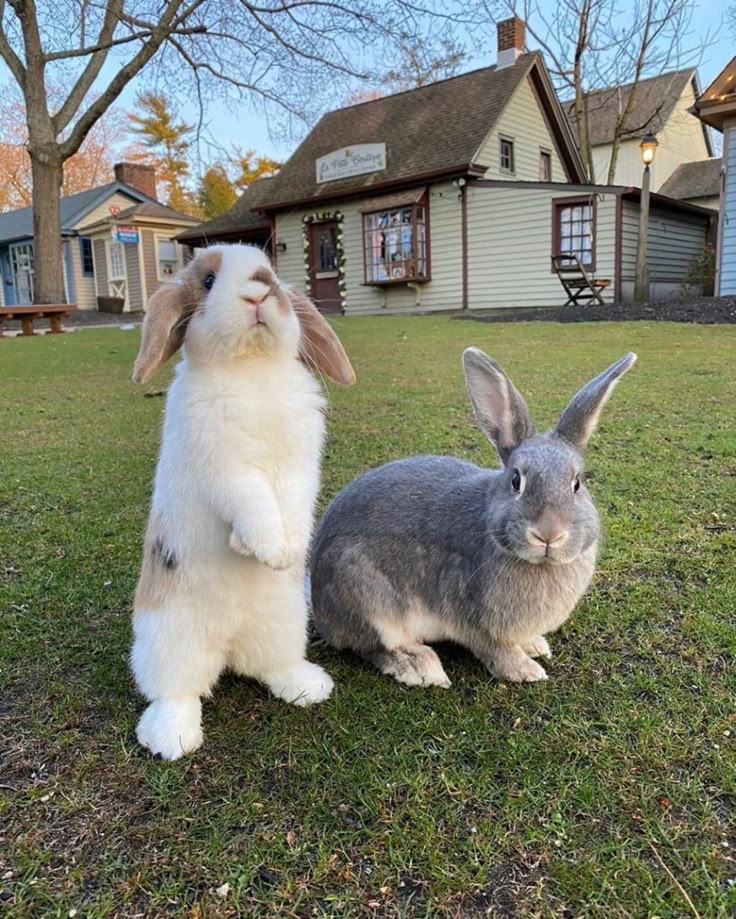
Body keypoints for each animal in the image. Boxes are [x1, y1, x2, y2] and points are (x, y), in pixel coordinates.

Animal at [130, 243, 355, 760]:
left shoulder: (298, 465)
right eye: (208, 281)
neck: (252, 370)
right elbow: (252, 500)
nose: (259, 291)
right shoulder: (226, 467)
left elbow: (291, 499)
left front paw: (286, 550)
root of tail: (228, 642)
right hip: (167, 640)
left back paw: (309, 686)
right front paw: (269, 550)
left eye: (270, 270)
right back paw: (170, 739)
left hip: (285, 625)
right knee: (176, 691)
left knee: (268, 666)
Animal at [309, 347, 636, 688]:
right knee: (372, 646)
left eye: (577, 483)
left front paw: (536, 645)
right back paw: (419, 666)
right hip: (366, 597)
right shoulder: (476, 620)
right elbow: (495, 651)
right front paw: (526, 671)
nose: (549, 533)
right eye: (516, 480)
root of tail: (319, 606)